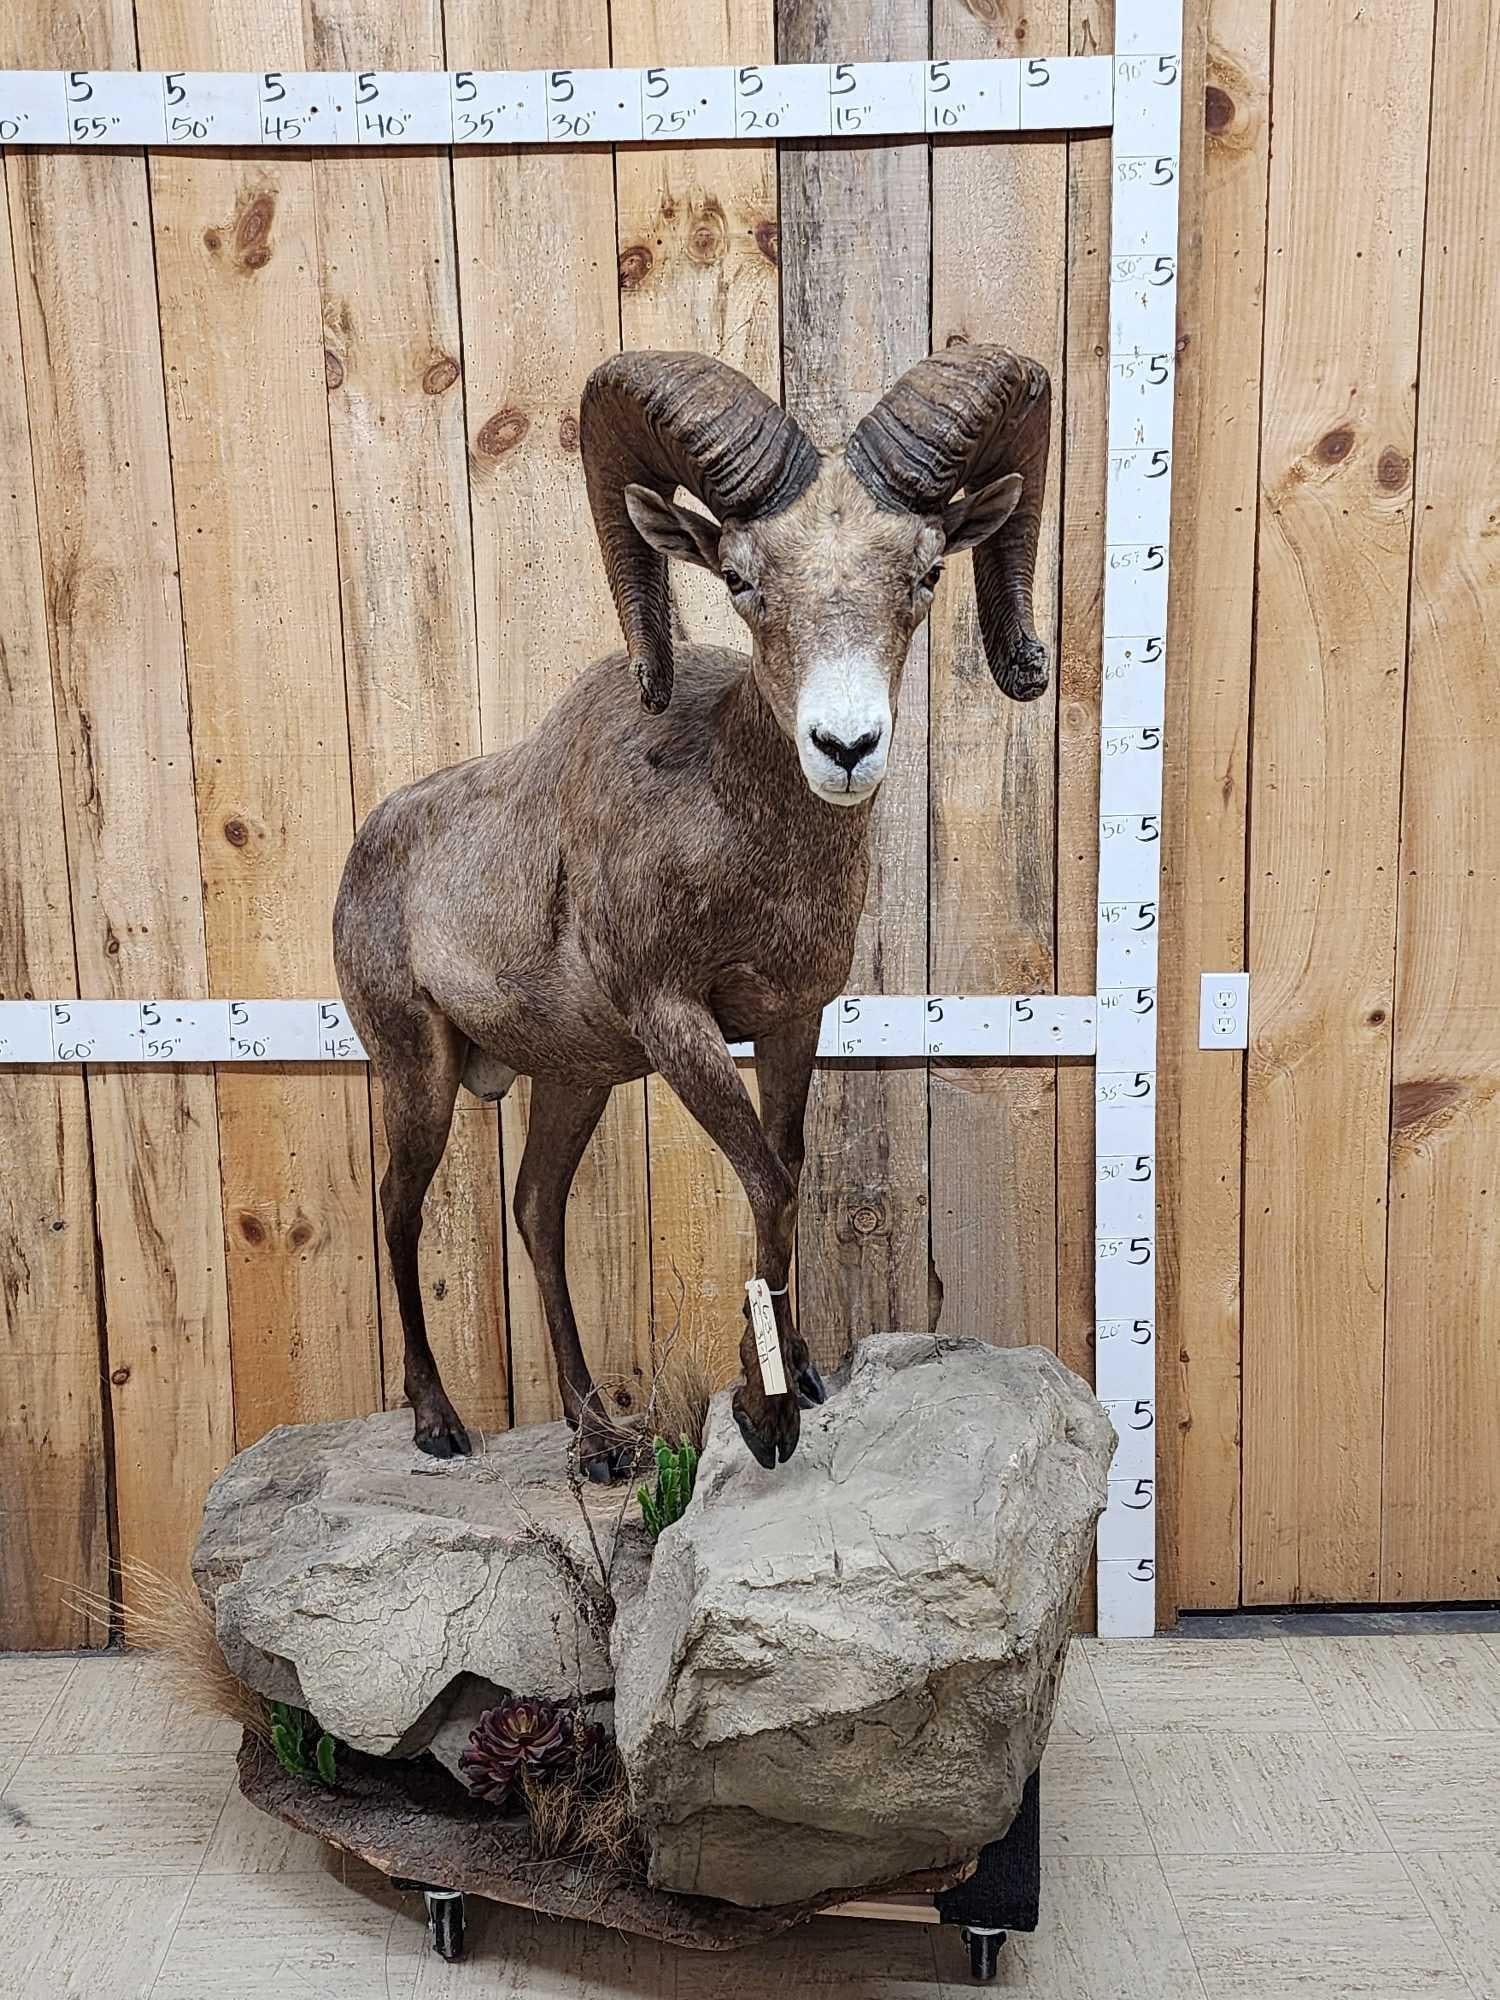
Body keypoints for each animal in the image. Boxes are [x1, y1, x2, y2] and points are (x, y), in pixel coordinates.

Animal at [334, 344, 1050, 1479]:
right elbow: (765, 1184)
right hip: (418, 1071)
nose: (846, 745)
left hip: (572, 1080)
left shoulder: (795, 1020)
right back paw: (439, 1424)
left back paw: (597, 1437)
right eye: (744, 580)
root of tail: (371, 848)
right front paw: (768, 1419)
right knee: (399, 1214)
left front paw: (804, 1377)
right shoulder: (679, 1024)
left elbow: (788, 1173)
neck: (738, 836)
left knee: (535, 1211)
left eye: (926, 573)